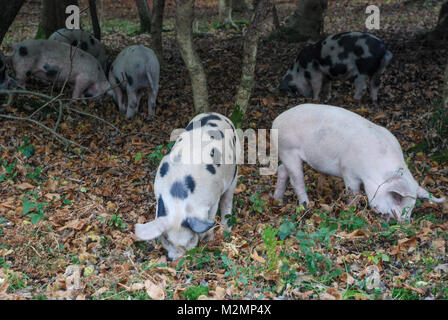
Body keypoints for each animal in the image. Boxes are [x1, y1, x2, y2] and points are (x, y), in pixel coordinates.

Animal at [136, 112, 242, 260]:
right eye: (168, 240)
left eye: (191, 239)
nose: (177, 258)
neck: (178, 201)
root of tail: (215, 114)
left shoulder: (213, 197)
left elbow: (210, 217)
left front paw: (208, 239)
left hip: (236, 167)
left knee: (227, 199)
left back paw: (226, 230)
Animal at [272, 104, 444, 222]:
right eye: (397, 199)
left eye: (413, 206)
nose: (404, 223)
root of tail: (276, 121)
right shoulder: (348, 171)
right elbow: (352, 193)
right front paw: (352, 211)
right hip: (288, 150)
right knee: (296, 180)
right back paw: (306, 205)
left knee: (282, 170)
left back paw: (278, 201)